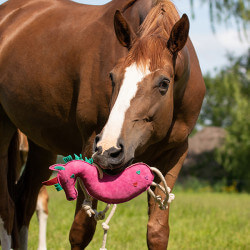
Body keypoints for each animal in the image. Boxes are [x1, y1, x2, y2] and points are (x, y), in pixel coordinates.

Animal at [0, 0, 204, 250]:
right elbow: (81, 230)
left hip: (41, 146)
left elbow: (157, 232)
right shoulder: (90, 145)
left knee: (23, 205)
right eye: (112, 77)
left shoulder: (174, 154)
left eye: (164, 83)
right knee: (7, 207)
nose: (109, 150)